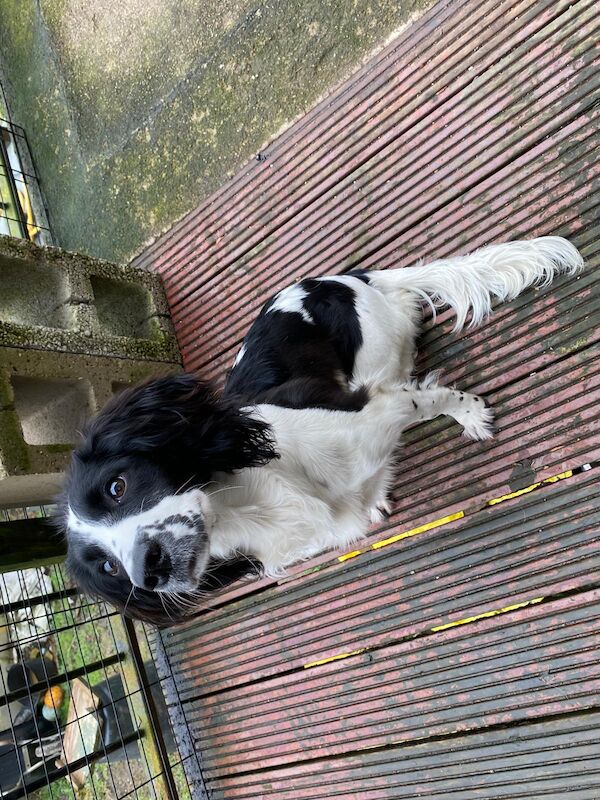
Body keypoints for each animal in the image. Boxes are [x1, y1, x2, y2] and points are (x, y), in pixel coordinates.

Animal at [62, 238, 580, 624]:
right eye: (109, 567)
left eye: (117, 486)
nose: (146, 571)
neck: (263, 501)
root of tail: (354, 278)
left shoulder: (369, 407)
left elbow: (429, 399)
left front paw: (469, 412)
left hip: (372, 354)